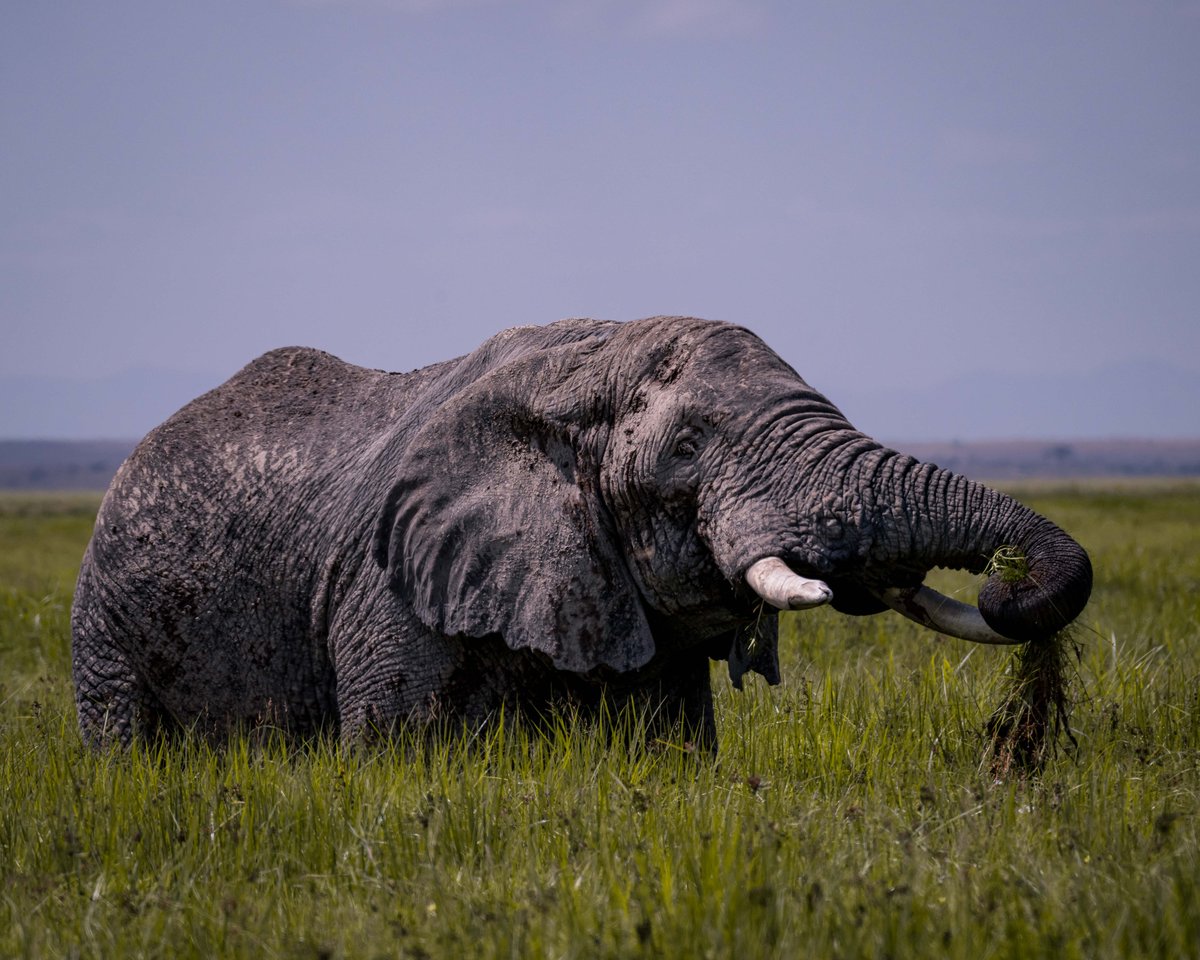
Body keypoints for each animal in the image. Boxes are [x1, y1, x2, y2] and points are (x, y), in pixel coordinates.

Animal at [71, 316, 1092, 750]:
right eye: (686, 448)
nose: (1007, 583)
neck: (592, 359)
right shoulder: (388, 590)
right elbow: (398, 752)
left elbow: (666, 741)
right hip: (104, 612)